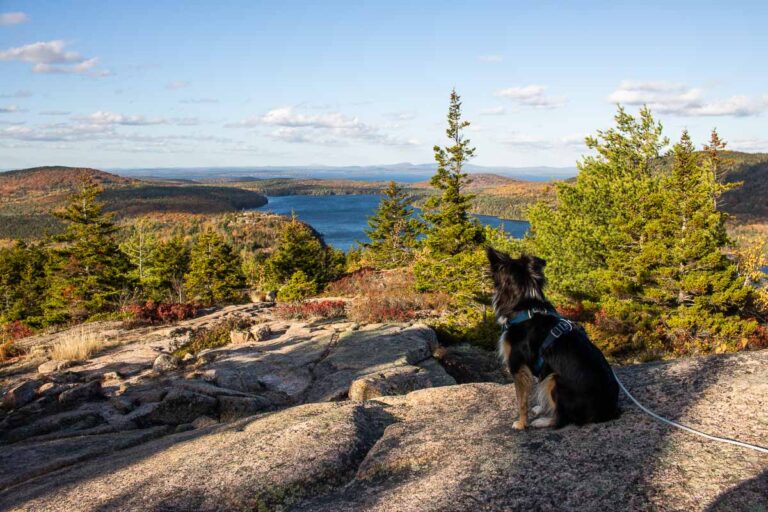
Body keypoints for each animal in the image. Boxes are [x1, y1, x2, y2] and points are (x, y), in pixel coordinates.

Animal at [488, 247, 620, 428]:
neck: (525, 305)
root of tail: (608, 410)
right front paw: (538, 409)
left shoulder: (517, 365)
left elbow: (521, 401)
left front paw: (521, 424)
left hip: (554, 379)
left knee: (562, 419)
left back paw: (543, 421)